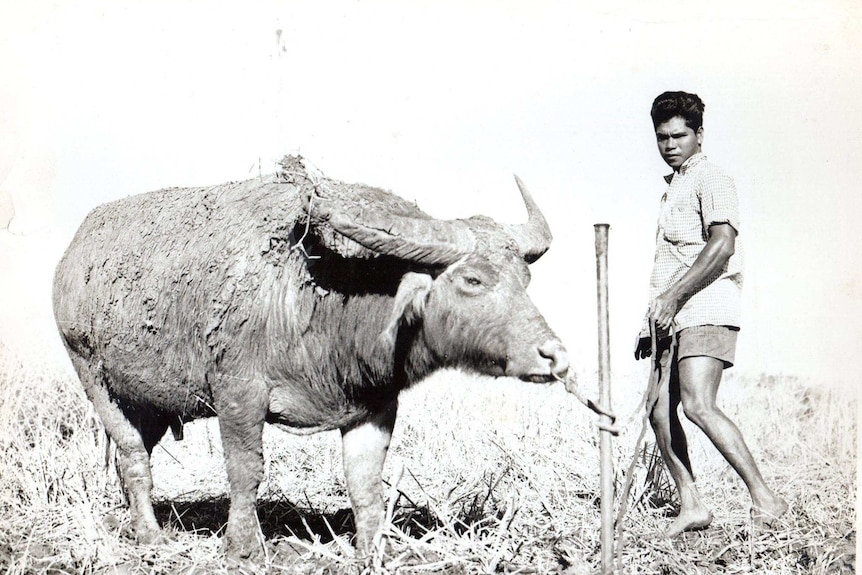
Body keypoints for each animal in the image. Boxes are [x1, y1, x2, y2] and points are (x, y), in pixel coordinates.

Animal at [50, 155, 572, 564]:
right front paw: (244, 549)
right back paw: (151, 536)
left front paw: (372, 552)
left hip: (153, 402)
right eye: (473, 280)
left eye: (525, 279)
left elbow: (365, 482)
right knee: (132, 455)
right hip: (95, 379)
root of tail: (71, 260)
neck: (330, 298)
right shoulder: (237, 394)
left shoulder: (374, 409)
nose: (555, 355)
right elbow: (247, 470)